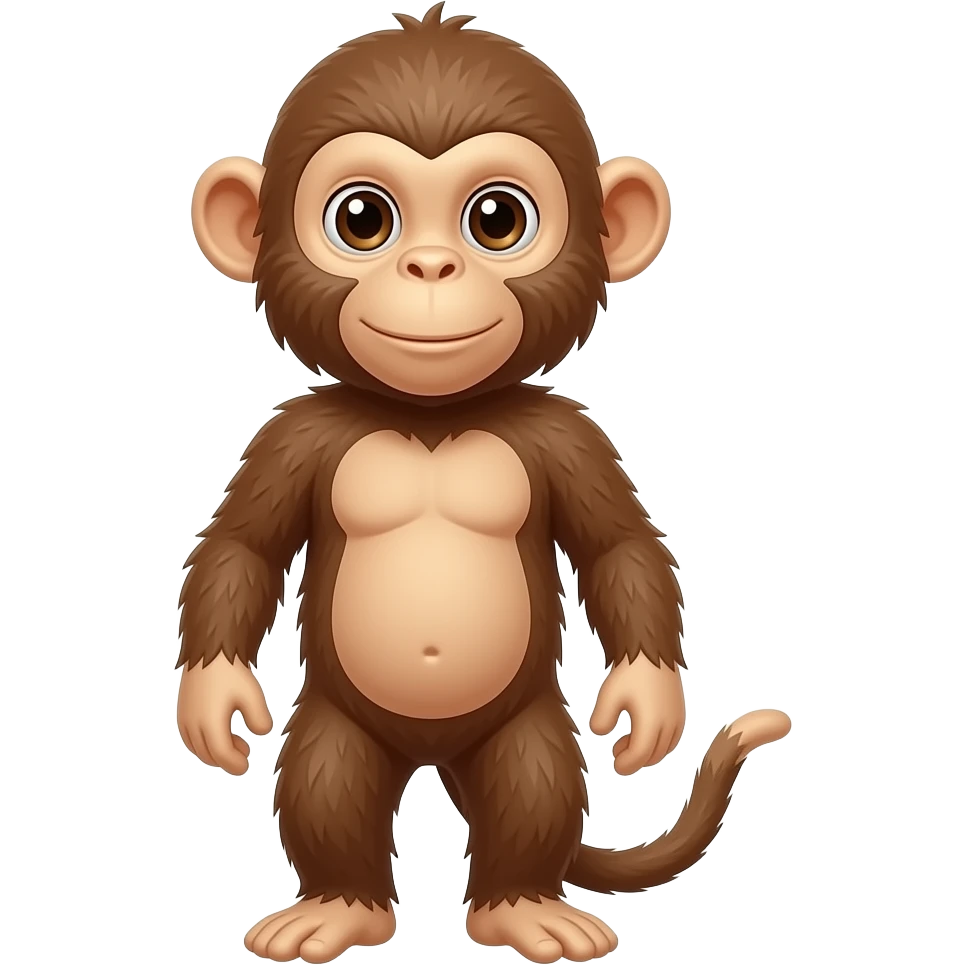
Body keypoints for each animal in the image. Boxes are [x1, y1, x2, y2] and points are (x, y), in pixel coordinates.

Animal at [177, 5, 792, 963]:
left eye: (496, 219)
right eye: (363, 218)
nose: (432, 268)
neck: (433, 417)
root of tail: (436, 755)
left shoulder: (567, 435)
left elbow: (619, 547)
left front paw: (646, 701)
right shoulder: (293, 436)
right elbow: (241, 545)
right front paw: (215, 701)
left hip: (523, 722)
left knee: (531, 779)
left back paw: (520, 905)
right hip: (340, 721)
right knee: (327, 775)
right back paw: (340, 905)